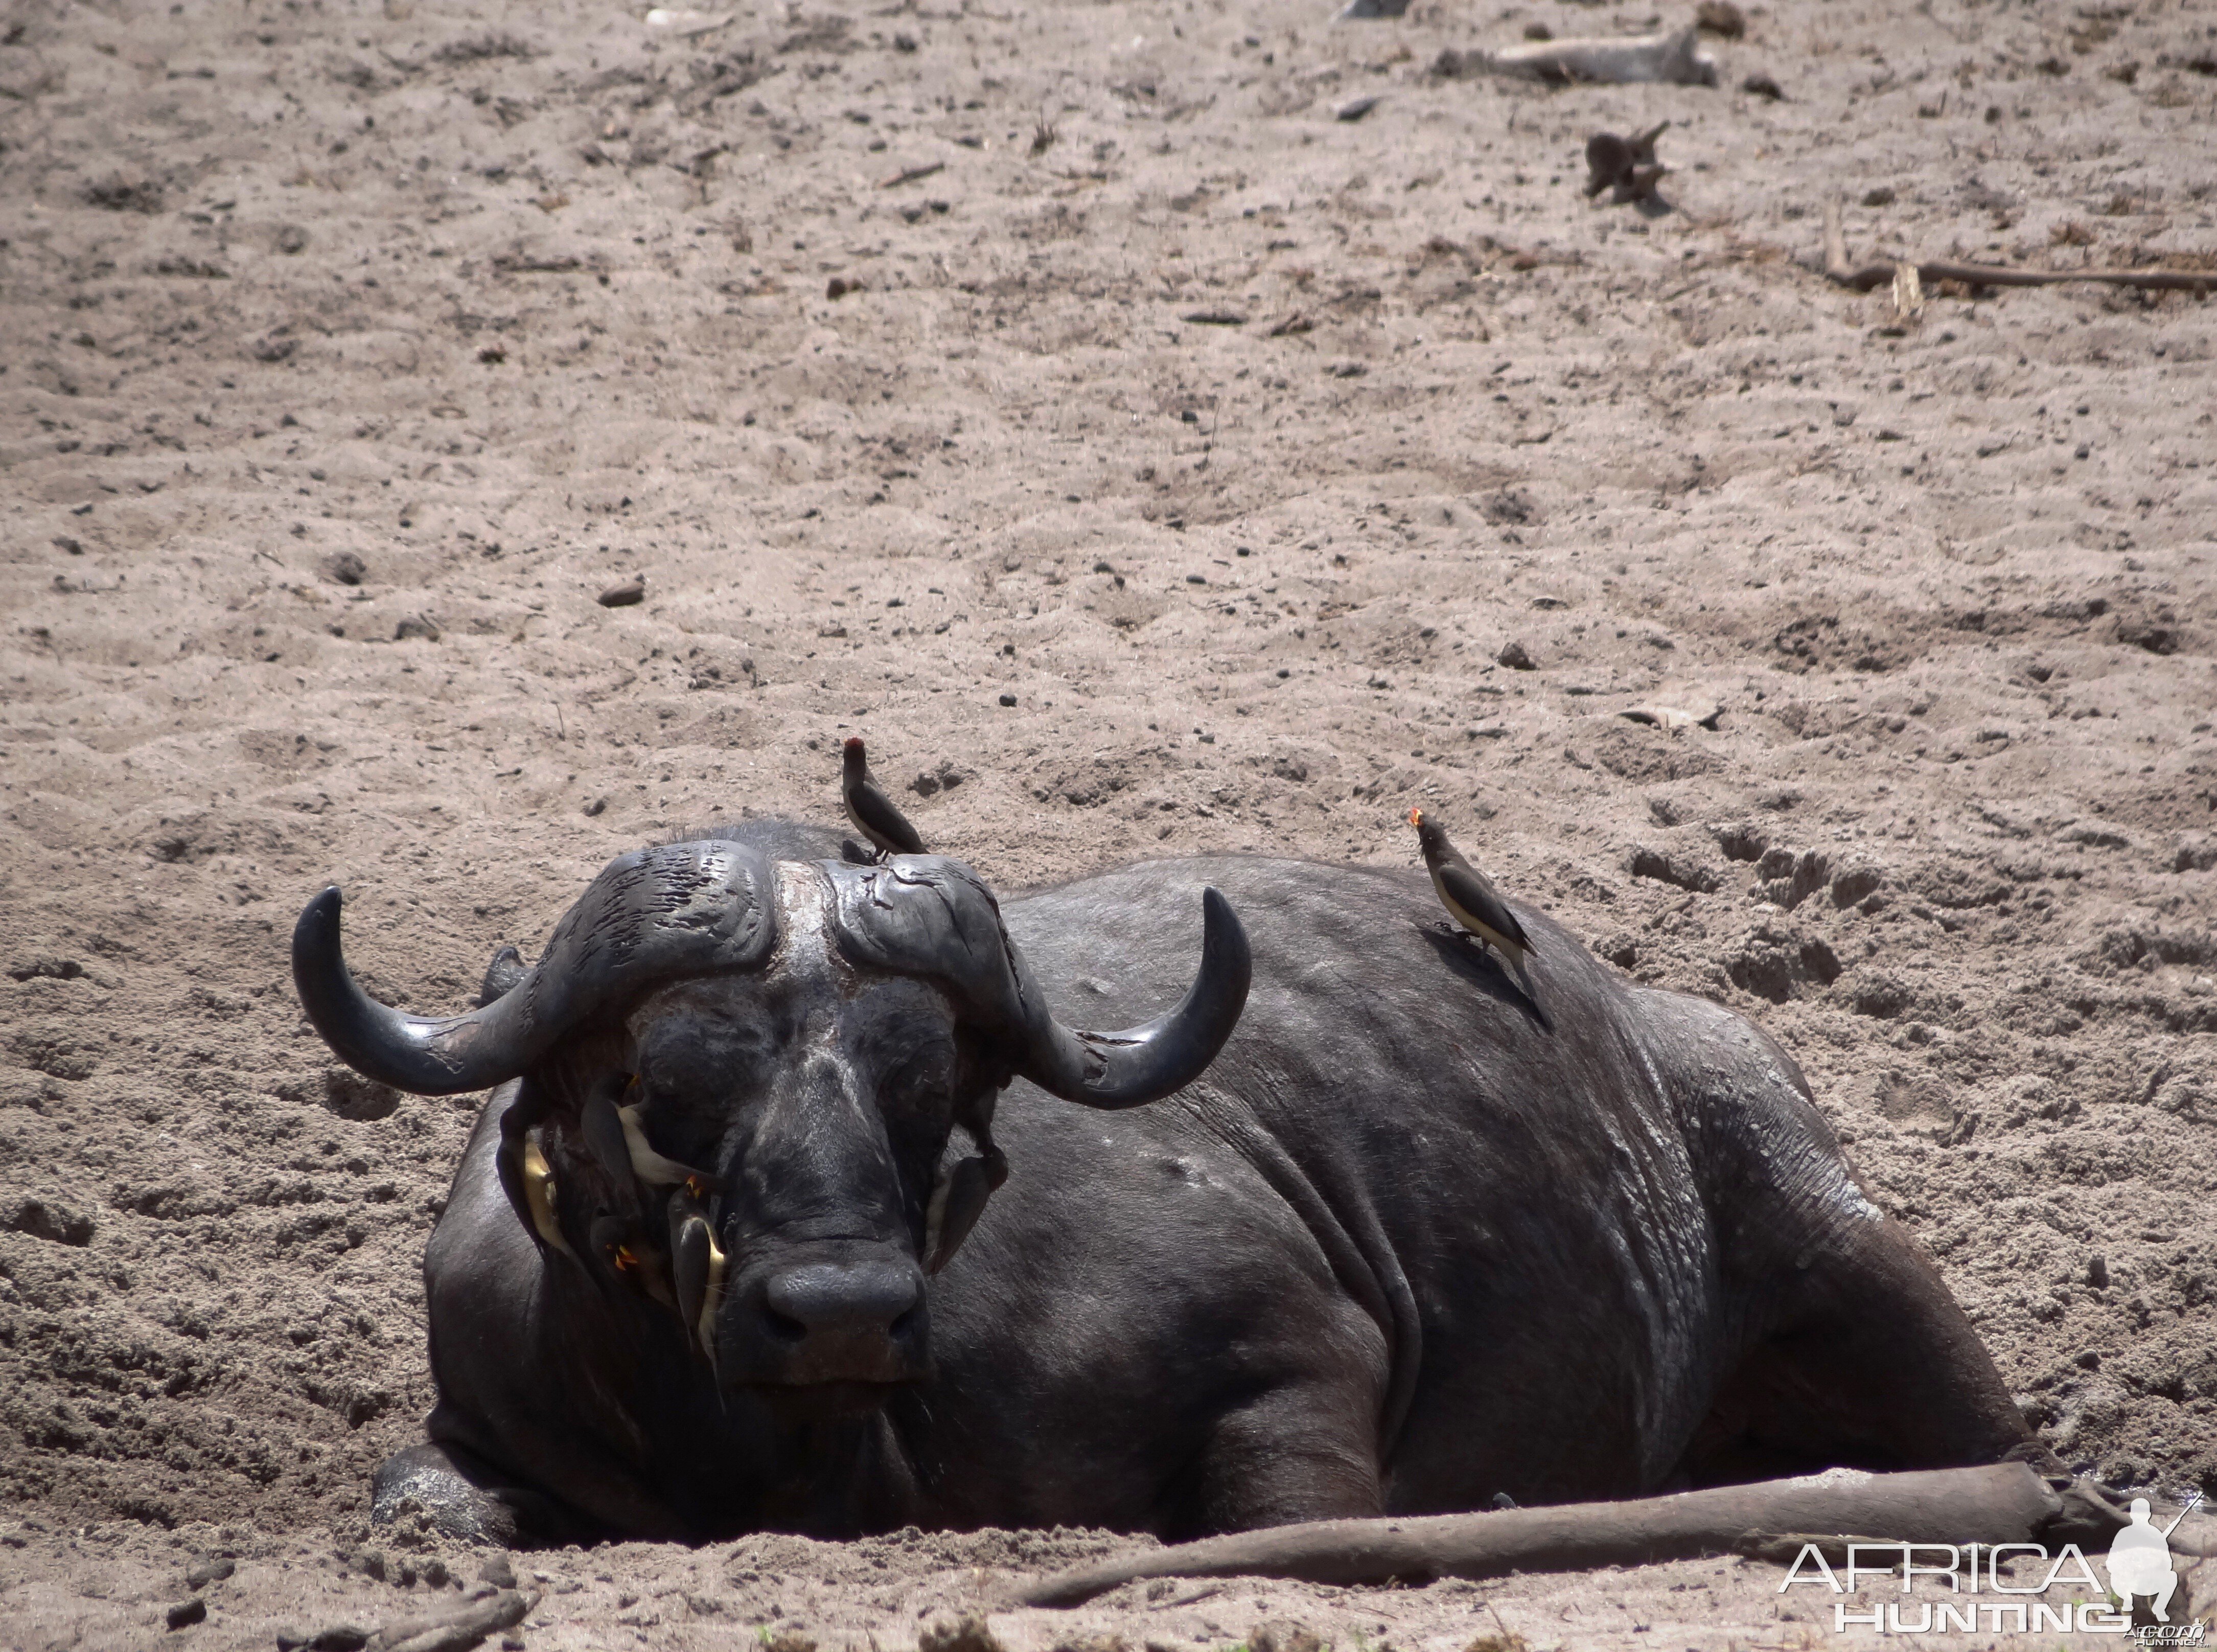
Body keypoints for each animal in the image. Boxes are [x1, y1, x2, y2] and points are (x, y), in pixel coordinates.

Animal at [294, 820, 2039, 1543]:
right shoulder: (484, 1418)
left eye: (932, 1090)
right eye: (661, 1092)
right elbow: (422, 1500)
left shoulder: (1292, 1372)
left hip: (1854, 1255)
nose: (844, 1310)